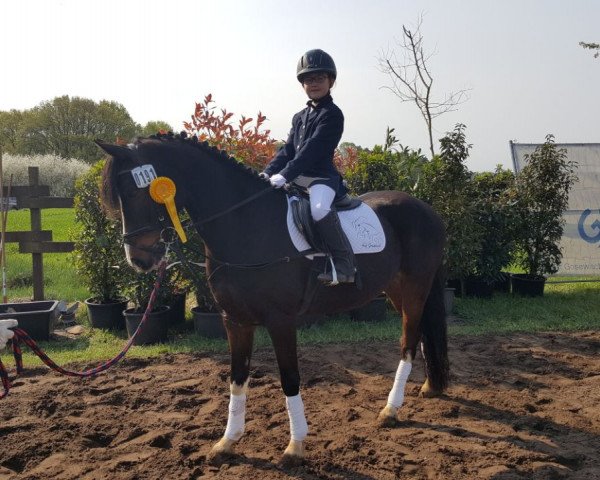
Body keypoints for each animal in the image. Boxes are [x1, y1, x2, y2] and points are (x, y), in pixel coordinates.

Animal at [98, 133, 448, 466]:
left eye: (134, 192)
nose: (138, 260)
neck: (246, 224)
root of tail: (426, 208)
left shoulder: (281, 321)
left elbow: (289, 379)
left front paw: (295, 447)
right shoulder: (234, 320)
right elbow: (237, 379)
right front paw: (227, 442)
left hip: (415, 287)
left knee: (407, 341)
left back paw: (391, 410)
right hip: (396, 289)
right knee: (417, 334)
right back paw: (427, 387)